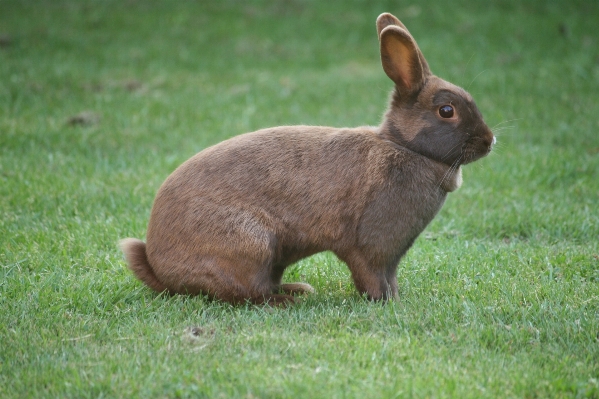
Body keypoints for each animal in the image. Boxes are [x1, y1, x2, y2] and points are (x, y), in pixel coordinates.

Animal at [118, 12, 496, 306]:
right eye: (446, 110)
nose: (490, 141)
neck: (405, 147)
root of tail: (159, 267)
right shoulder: (370, 247)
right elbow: (371, 275)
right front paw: (387, 303)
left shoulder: (390, 256)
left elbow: (389, 277)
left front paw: (396, 299)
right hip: (252, 246)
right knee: (245, 294)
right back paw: (289, 300)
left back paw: (297, 290)